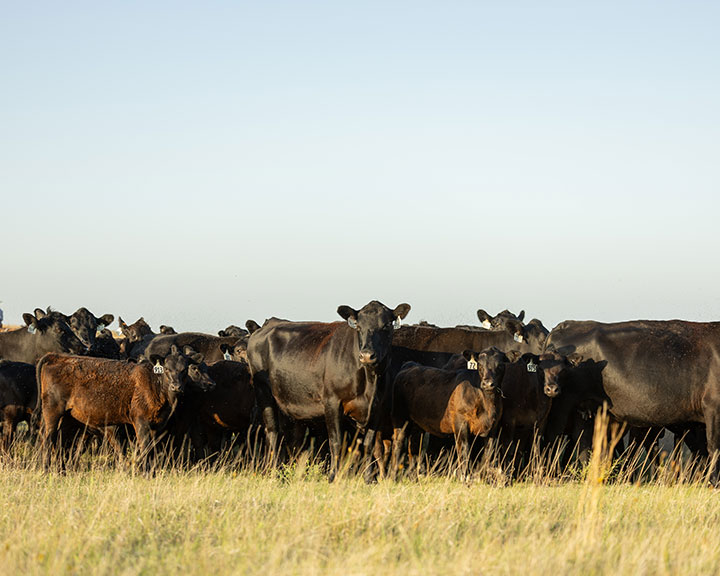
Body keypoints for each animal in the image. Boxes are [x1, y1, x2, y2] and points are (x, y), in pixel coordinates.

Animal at [36, 344, 215, 467]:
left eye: (185, 369)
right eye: (167, 369)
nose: (176, 387)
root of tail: (56, 356)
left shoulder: (156, 425)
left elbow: (151, 449)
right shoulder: (140, 421)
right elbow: (144, 447)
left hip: (67, 418)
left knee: (59, 441)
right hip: (52, 411)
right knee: (47, 437)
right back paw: (46, 468)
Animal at [247, 300, 411, 481]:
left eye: (386, 325)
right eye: (358, 326)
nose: (367, 355)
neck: (370, 382)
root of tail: (267, 326)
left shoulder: (377, 407)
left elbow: (369, 444)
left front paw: (369, 479)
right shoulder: (332, 402)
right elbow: (336, 441)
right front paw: (333, 476)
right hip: (264, 394)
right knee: (273, 433)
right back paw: (274, 473)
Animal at [390, 347, 506, 479]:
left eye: (500, 365)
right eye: (480, 364)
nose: (488, 384)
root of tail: (411, 365)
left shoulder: (493, 428)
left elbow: (488, 454)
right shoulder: (461, 424)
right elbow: (464, 451)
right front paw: (464, 478)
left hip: (417, 423)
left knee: (414, 446)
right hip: (399, 416)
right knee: (398, 442)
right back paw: (393, 476)